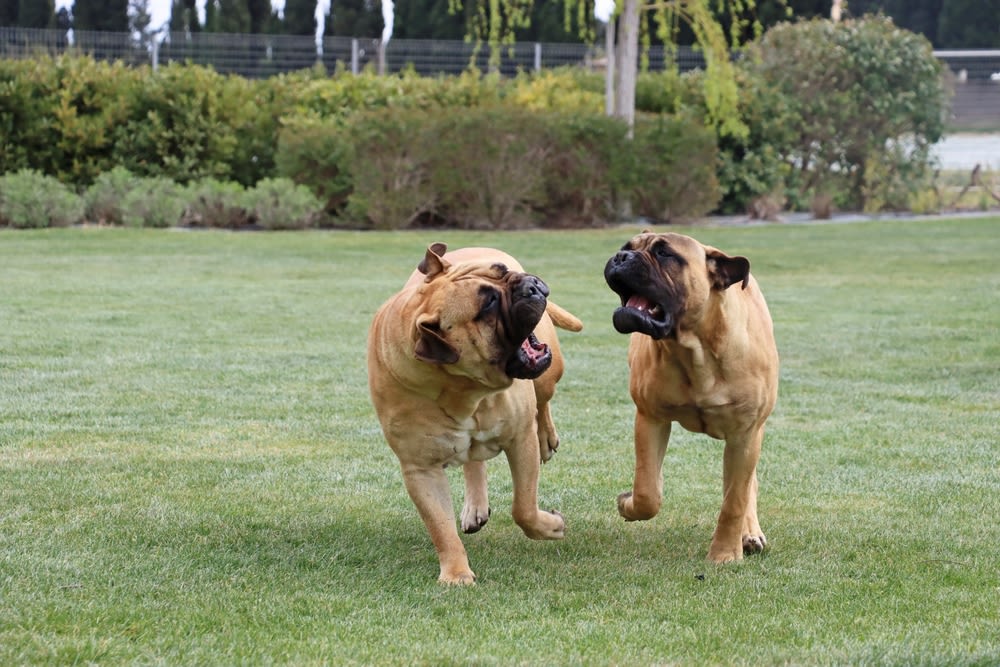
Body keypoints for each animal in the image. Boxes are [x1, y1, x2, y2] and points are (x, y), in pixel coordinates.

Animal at [370, 244, 584, 584]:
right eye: (488, 304)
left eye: (501, 270)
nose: (531, 285)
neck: (462, 388)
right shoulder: (420, 469)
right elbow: (440, 527)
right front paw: (456, 573)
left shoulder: (519, 438)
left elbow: (524, 507)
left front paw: (550, 526)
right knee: (474, 461)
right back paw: (475, 506)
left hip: (548, 374)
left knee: (543, 401)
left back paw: (546, 438)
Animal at [600, 232, 780, 560]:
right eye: (627, 247)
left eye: (664, 253)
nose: (620, 257)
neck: (695, 350)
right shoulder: (650, 418)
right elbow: (647, 490)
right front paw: (629, 503)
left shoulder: (746, 433)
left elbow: (734, 501)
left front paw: (724, 555)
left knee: (746, 485)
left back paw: (748, 533)